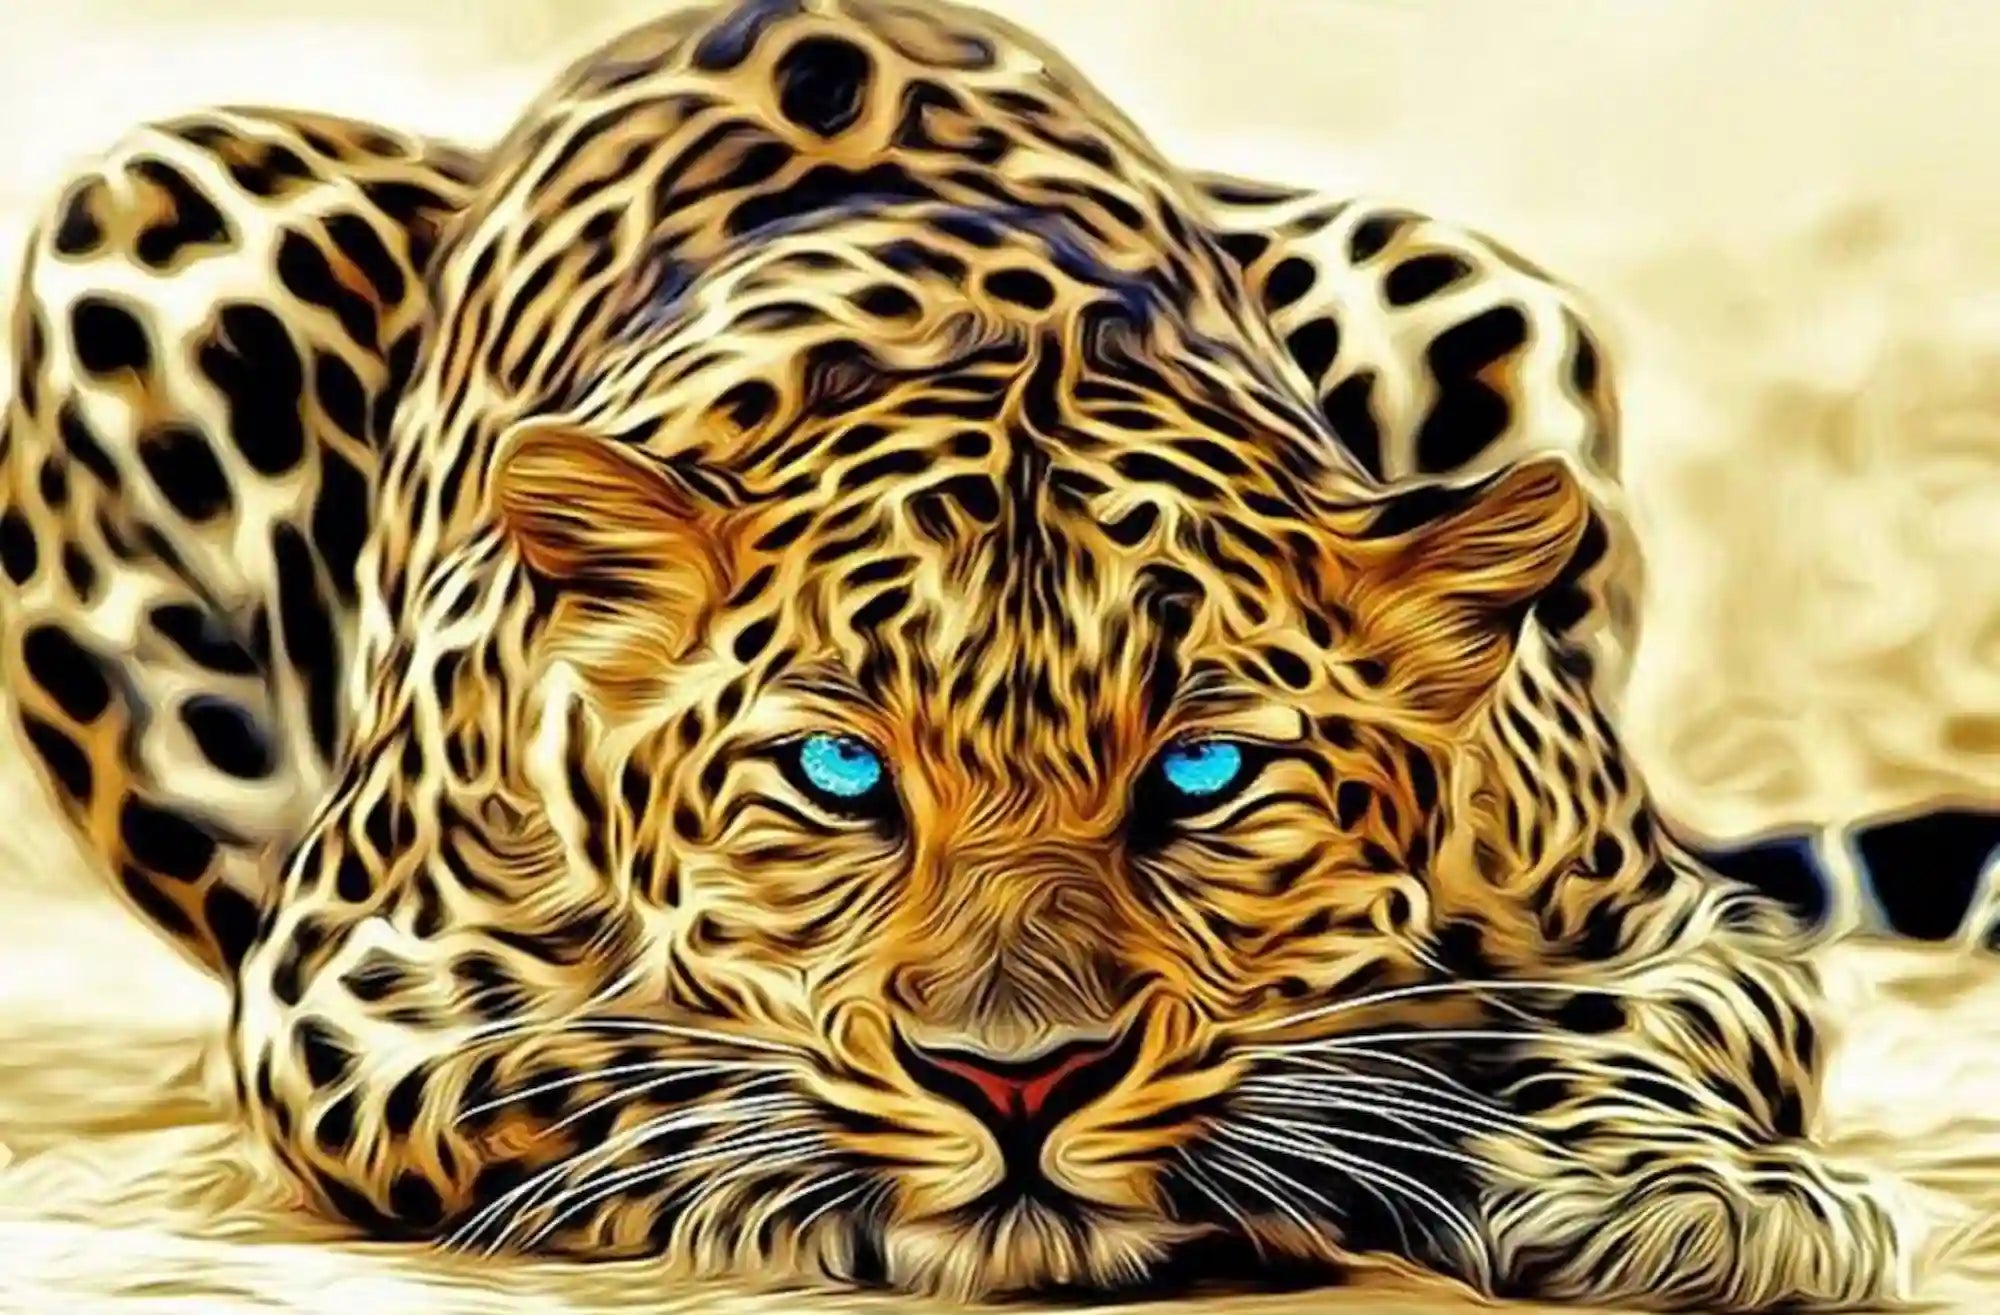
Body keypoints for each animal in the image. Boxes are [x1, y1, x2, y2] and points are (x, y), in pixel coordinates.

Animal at [3, 0, 1993, 1308]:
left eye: (1203, 772)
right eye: (836, 774)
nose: (1018, 1084)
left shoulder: (1668, 919)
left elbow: (1647, 1026)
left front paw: (1698, 1195)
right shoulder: (352, 987)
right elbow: (597, 1065)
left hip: (1470, 281)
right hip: (144, 212)